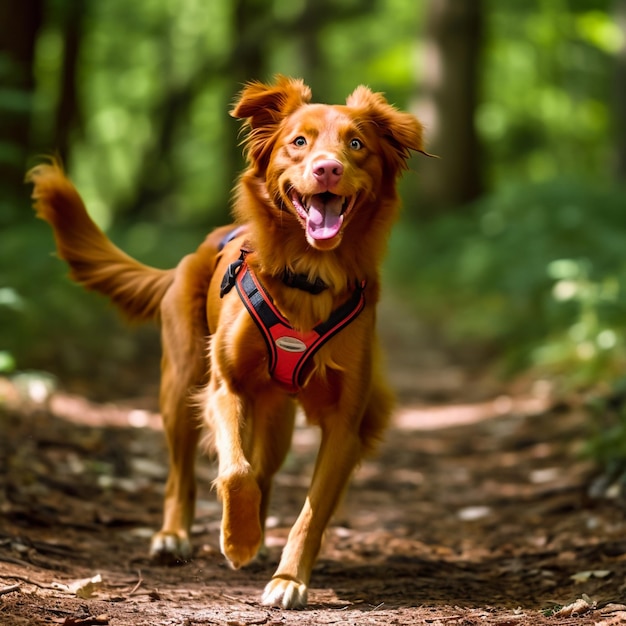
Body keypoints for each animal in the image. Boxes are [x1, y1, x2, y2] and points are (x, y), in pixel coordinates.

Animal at [24, 75, 424, 608]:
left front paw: (287, 577)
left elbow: (310, 510)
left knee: (266, 471)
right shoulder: (225, 387)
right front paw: (238, 540)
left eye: (356, 145)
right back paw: (174, 535)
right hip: (179, 386)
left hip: (275, 418)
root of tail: (192, 254)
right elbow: (235, 471)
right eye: (299, 142)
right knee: (182, 472)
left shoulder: (346, 420)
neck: (308, 277)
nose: (328, 168)